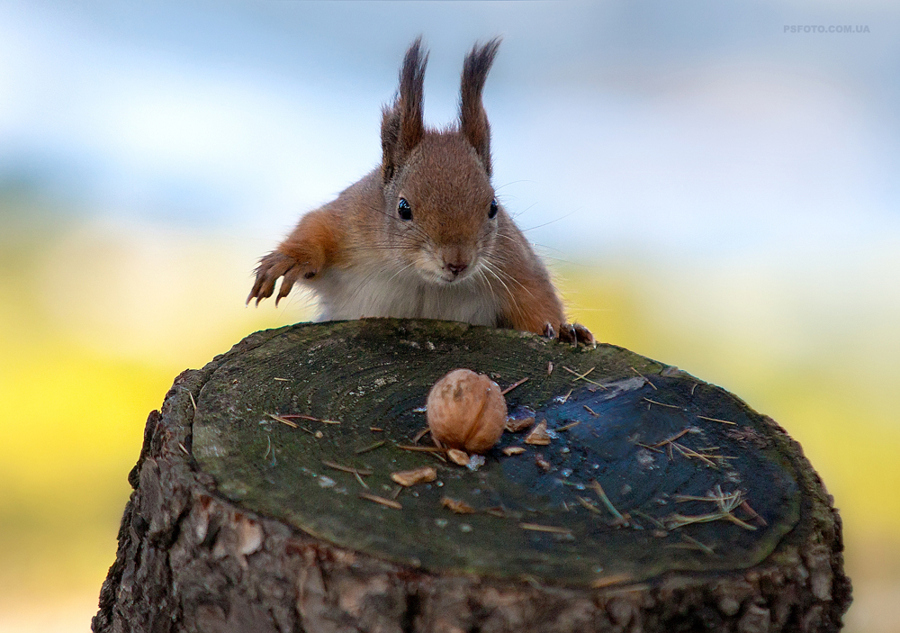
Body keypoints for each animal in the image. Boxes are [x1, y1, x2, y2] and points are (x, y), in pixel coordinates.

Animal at [250, 38, 596, 346]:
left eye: (493, 207)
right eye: (403, 208)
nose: (457, 263)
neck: (421, 278)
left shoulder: (513, 263)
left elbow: (537, 299)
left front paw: (565, 330)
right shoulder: (350, 220)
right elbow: (316, 228)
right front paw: (289, 260)